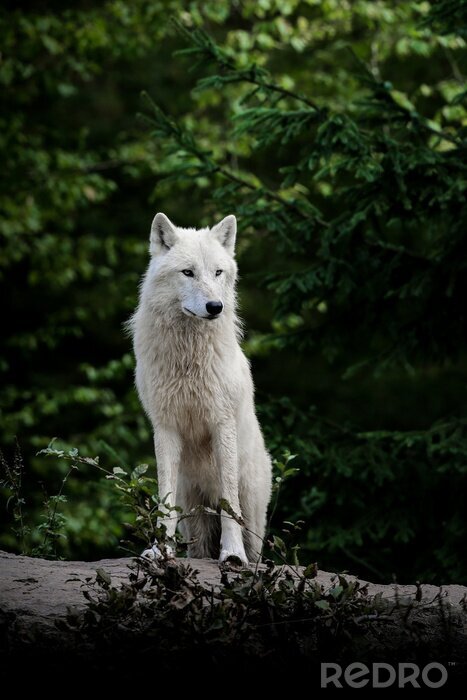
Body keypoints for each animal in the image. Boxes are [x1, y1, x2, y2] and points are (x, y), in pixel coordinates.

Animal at [129, 212, 272, 565]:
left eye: (218, 272)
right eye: (188, 272)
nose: (215, 306)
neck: (187, 358)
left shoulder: (223, 424)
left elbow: (228, 502)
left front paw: (232, 554)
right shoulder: (165, 427)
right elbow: (164, 502)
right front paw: (160, 550)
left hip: (253, 511)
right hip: (191, 508)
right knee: (197, 547)